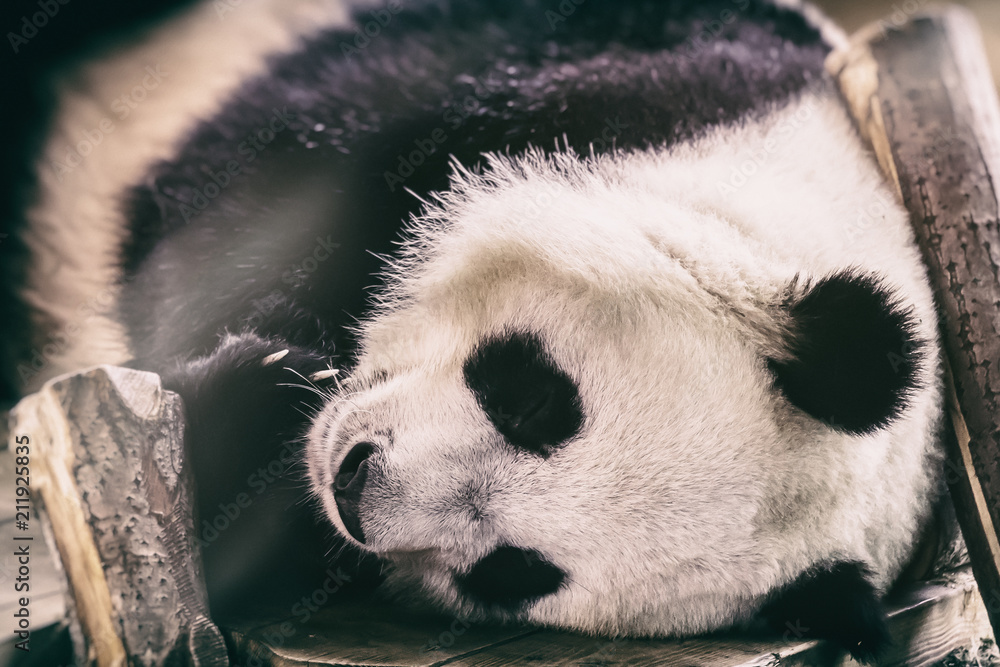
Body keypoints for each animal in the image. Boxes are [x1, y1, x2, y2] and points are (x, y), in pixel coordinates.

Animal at [9, 0, 945, 662]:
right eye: (536, 400)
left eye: (514, 571)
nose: (354, 484)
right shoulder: (606, 73)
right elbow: (241, 200)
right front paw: (267, 388)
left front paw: (255, 424)